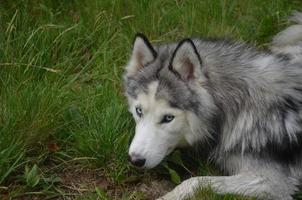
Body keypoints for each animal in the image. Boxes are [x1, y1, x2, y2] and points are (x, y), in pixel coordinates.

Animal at [124, 12, 302, 200]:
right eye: (139, 111)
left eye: (168, 118)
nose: (135, 160)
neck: (240, 105)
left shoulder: (272, 183)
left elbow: (195, 181)